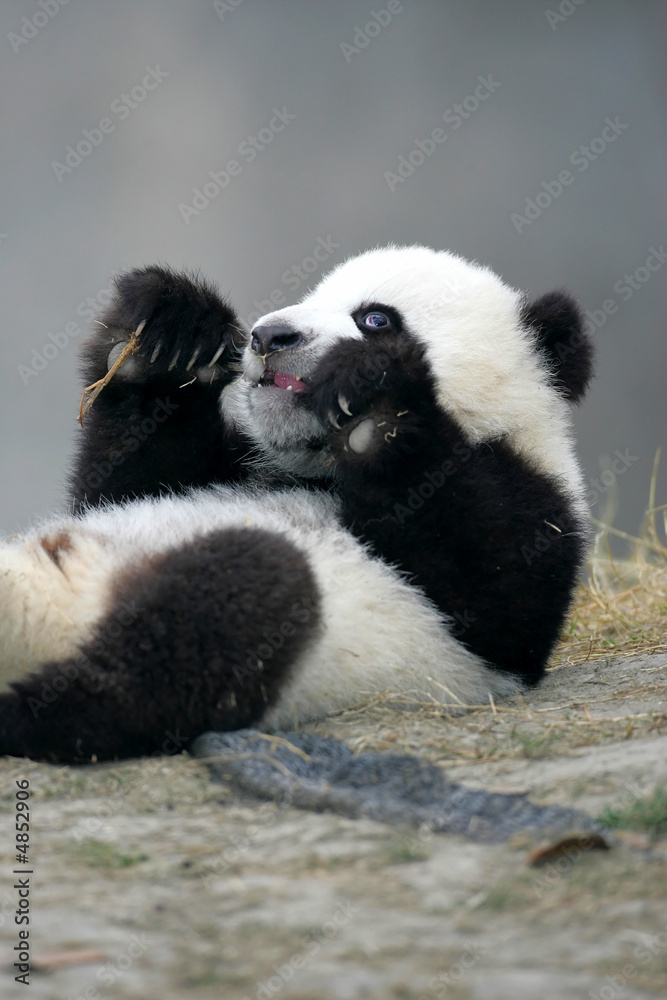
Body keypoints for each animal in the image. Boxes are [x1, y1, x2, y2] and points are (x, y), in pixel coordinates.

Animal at [0, 245, 593, 763]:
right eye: (312, 295)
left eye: (376, 318)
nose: (268, 336)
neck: (319, 473)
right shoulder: (237, 467)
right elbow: (123, 484)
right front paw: (170, 333)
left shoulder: (538, 515)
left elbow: (494, 591)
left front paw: (373, 398)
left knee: (234, 605)